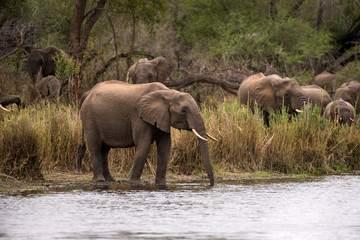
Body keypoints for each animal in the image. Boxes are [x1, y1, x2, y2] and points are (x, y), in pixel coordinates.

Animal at [76, 80, 214, 186]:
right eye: (184, 110)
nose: (211, 185)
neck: (168, 93)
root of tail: (87, 93)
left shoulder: (163, 117)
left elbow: (165, 146)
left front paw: (161, 184)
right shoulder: (139, 116)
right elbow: (144, 144)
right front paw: (135, 184)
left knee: (105, 149)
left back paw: (110, 180)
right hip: (89, 117)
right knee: (95, 146)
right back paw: (99, 181)